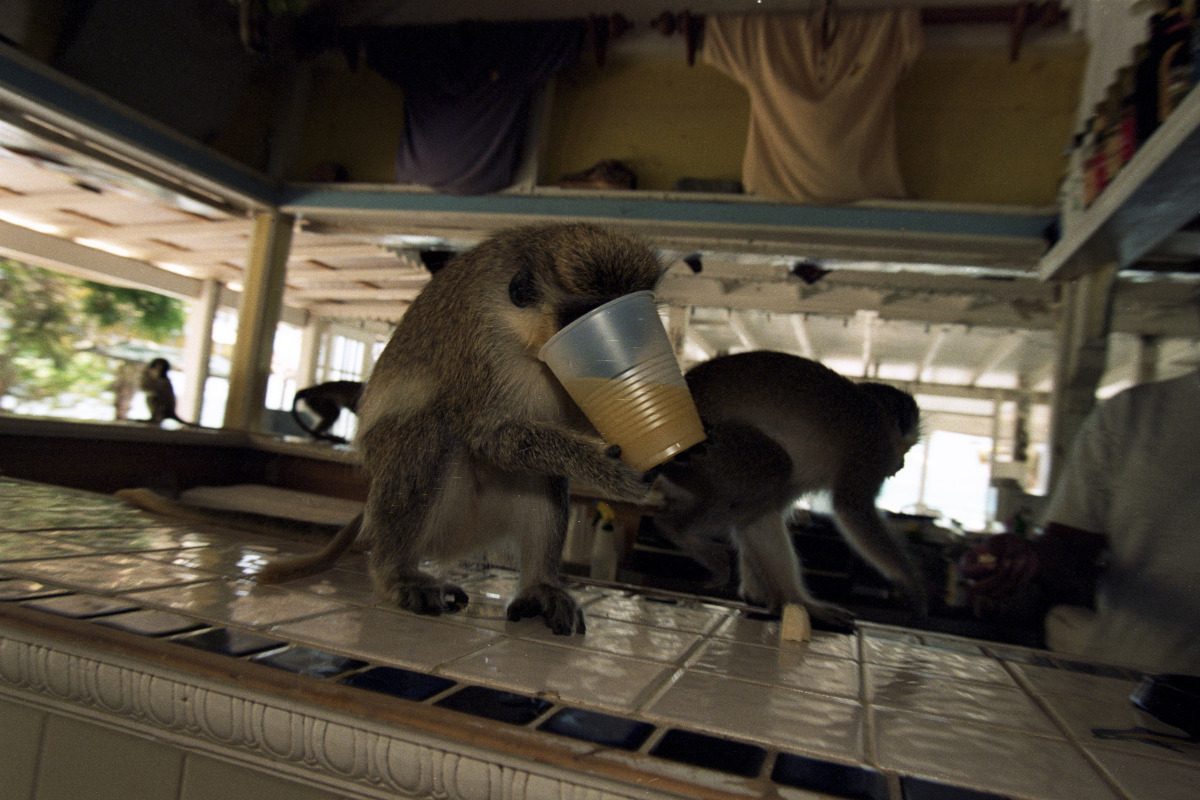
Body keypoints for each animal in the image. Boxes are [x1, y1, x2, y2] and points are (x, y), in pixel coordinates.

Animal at [257, 223, 663, 634]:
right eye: (586, 315)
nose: (626, 351)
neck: (525, 338)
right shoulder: (481, 351)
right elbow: (489, 437)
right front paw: (608, 467)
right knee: (429, 431)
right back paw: (394, 573)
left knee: (545, 477)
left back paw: (540, 586)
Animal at [651, 351, 927, 626]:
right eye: (906, 450)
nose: (901, 465)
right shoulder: (872, 445)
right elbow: (852, 507)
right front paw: (911, 583)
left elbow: (760, 521)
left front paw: (771, 594)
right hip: (703, 445)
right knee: (776, 468)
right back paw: (678, 530)